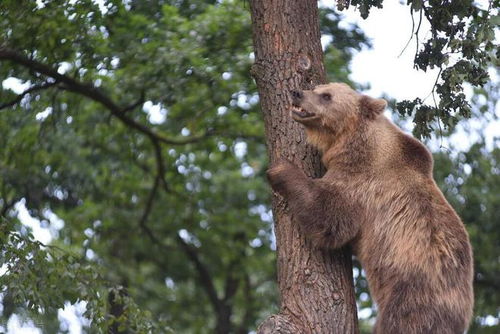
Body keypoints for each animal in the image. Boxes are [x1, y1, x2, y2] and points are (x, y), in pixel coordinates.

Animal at [268, 83, 474, 334]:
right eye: (317, 88)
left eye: (327, 96)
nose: (297, 93)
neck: (352, 141)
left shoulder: (363, 183)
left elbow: (329, 218)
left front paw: (280, 168)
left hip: (412, 294)